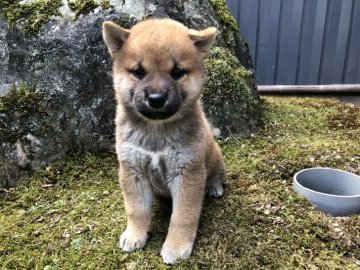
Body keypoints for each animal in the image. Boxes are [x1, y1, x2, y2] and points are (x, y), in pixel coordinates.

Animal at [102, 17, 225, 264]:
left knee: (216, 175)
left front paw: (176, 247)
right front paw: (135, 234)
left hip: (215, 157)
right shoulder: (132, 171)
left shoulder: (187, 173)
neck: (156, 133)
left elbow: (183, 216)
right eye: (138, 72)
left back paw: (215, 187)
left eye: (177, 72)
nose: (156, 99)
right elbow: (136, 210)